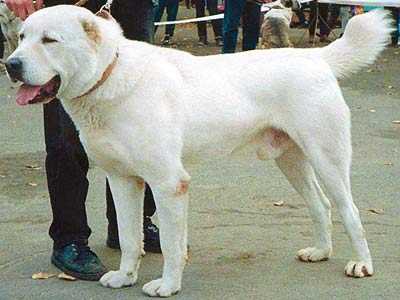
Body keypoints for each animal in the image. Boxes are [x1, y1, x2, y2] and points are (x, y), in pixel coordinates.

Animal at [5, 5, 394, 296]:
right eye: (22, 38)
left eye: (50, 40)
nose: (11, 64)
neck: (110, 75)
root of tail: (315, 59)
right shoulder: (122, 180)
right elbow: (130, 238)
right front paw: (126, 276)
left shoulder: (168, 184)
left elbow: (172, 245)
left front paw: (167, 286)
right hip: (291, 161)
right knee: (320, 205)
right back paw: (321, 252)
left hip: (327, 159)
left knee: (348, 210)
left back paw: (362, 264)